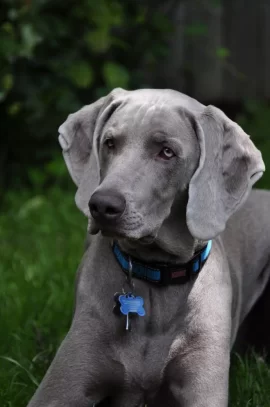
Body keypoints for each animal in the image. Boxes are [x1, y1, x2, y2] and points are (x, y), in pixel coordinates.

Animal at [26, 89, 268, 407]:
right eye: (109, 143)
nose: (101, 205)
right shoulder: (56, 391)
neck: (156, 275)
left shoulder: (204, 388)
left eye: (166, 152)